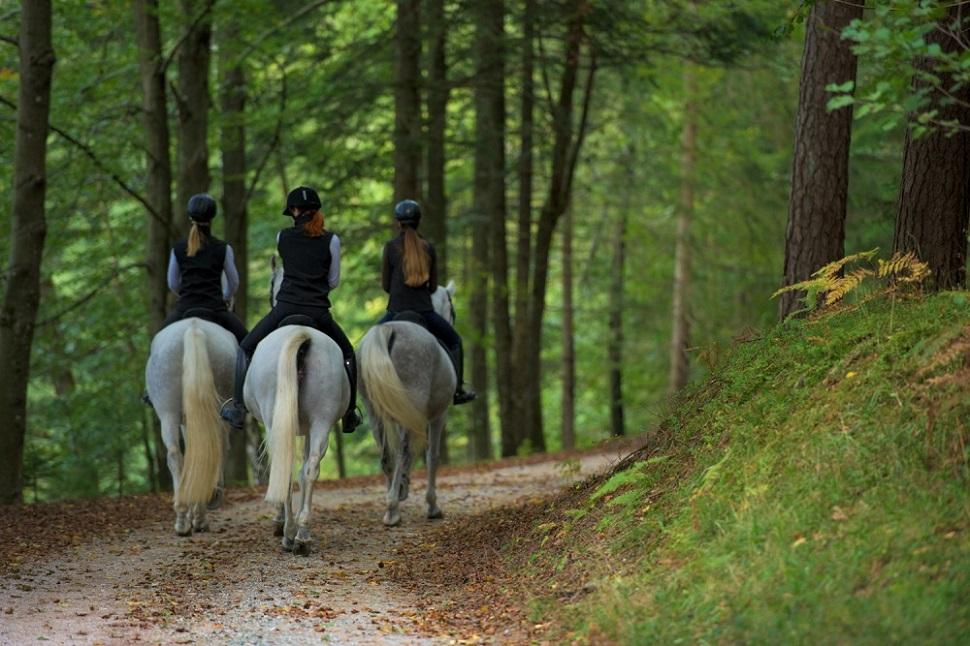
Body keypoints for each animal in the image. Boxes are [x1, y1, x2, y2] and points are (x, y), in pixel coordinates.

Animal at [242, 260, 348, 556]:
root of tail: (302, 333)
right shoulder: (310, 427)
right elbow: (304, 471)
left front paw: (279, 522)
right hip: (322, 420)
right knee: (310, 469)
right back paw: (302, 535)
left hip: (276, 421)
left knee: (285, 469)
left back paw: (288, 534)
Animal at [360, 282, 458, 528]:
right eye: (452, 310)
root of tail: (389, 331)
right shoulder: (438, 415)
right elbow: (432, 455)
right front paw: (432, 506)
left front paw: (403, 486)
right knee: (404, 451)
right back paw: (393, 510)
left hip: (374, 411)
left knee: (387, 453)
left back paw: (392, 499)